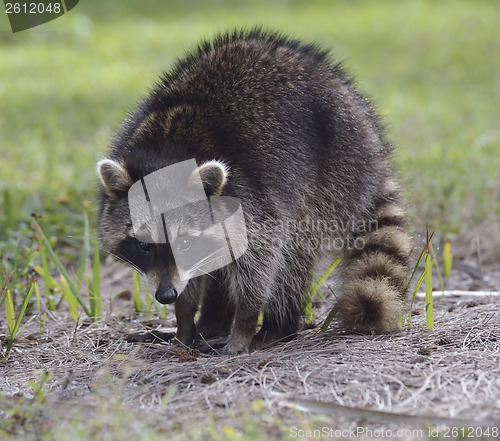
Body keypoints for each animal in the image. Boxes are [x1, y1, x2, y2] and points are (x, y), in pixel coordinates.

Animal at [95, 29, 412, 354]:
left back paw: (276, 326)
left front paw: (243, 324)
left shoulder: (254, 197)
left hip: (331, 176)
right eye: (143, 245)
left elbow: (261, 260)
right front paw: (183, 323)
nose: (166, 295)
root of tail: (371, 138)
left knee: (292, 254)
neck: (165, 151)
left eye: (185, 243)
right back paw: (212, 324)